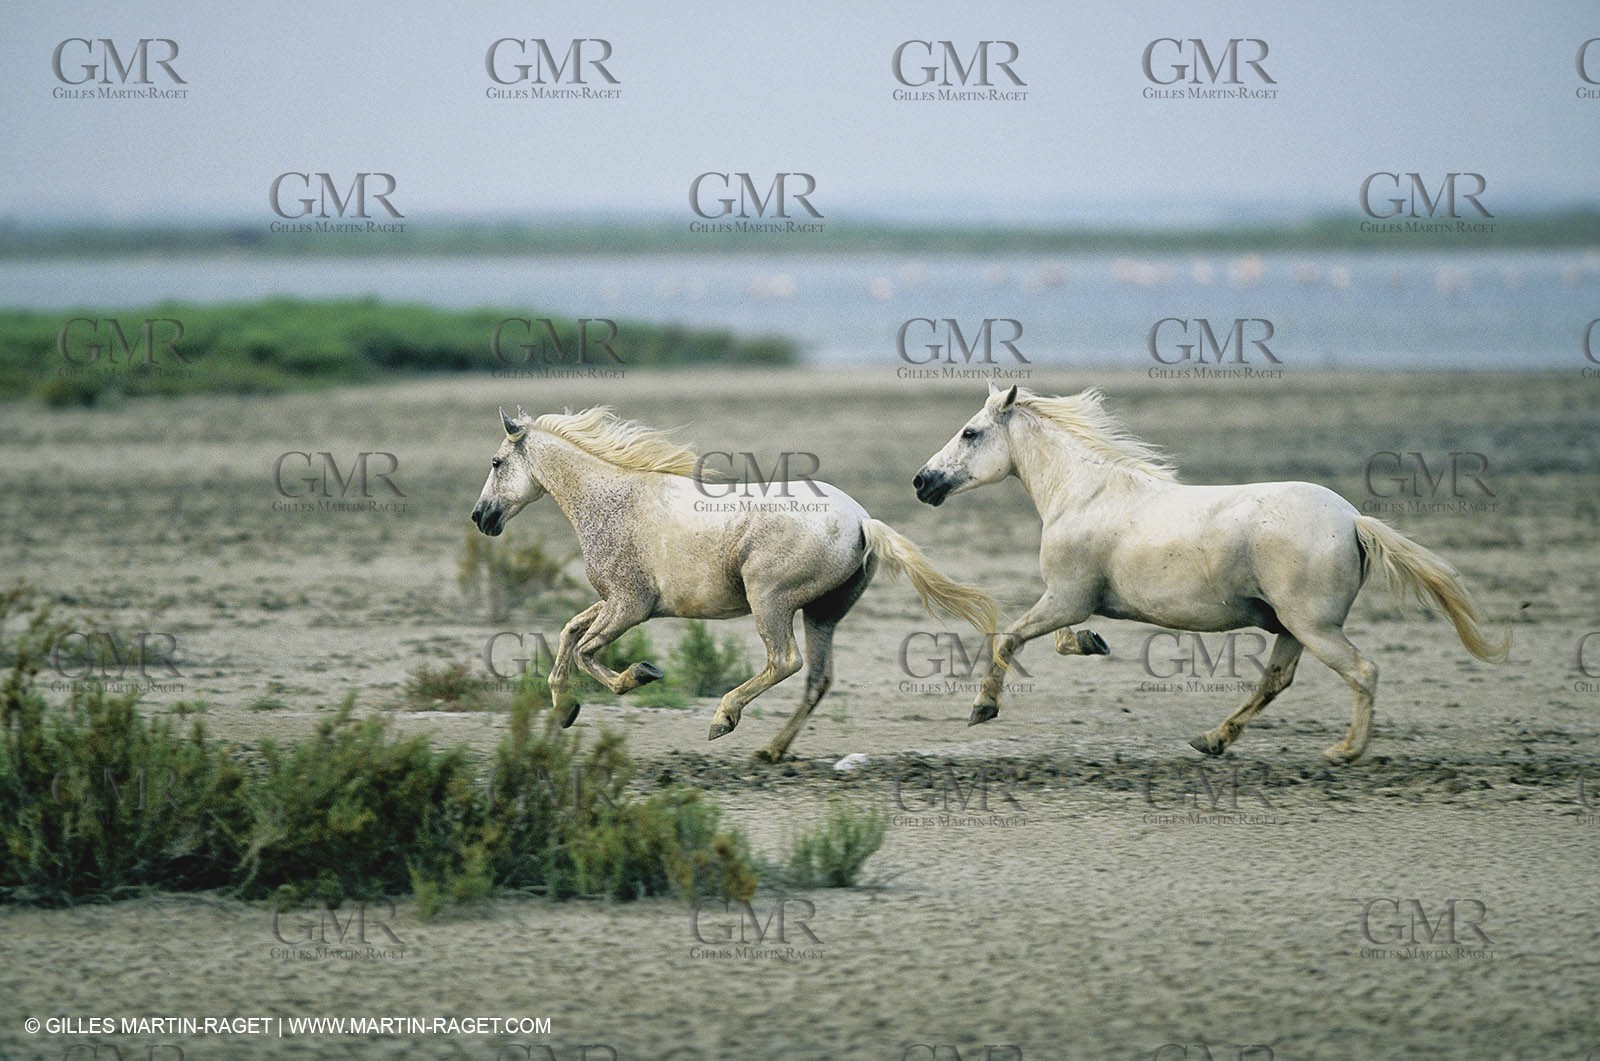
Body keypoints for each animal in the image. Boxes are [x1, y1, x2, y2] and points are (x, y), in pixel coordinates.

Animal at [471, 404, 997, 762]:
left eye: (496, 463)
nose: (481, 517)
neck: (613, 500)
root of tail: (862, 521)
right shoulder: (612, 602)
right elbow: (568, 634)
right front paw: (563, 709)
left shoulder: (629, 605)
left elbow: (584, 651)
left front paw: (640, 674)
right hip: (822, 613)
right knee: (817, 678)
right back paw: (770, 750)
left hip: (771, 600)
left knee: (784, 662)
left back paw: (723, 719)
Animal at [912, 383, 1509, 763]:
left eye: (969, 433)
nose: (922, 481)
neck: (1084, 494)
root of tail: (1352, 519)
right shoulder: (1071, 599)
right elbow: (1053, 638)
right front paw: (1092, 643)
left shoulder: (1066, 596)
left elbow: (1008, 637)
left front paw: (982, 708)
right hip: (1291, 627)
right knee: (1275, 681)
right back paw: (1212, 740)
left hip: (1313, 626)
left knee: (1362, 672)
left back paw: (1344, 751)